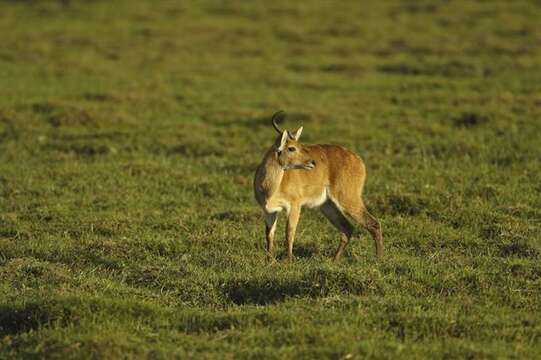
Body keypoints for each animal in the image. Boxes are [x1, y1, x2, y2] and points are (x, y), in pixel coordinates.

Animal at [254, 110, 384, 262]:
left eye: (300, 145)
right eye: (291, 148)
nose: (313, 162)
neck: (270, 188)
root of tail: (357, 158)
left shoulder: (294, 206)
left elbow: (289, 233)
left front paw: (289, 261)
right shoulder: (269, 211)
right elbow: (269, 235)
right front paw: (269, 261)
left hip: (347, 199)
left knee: (373, 223)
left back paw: (378, 259)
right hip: (327, 206)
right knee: (347, 228)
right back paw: (334, 261)